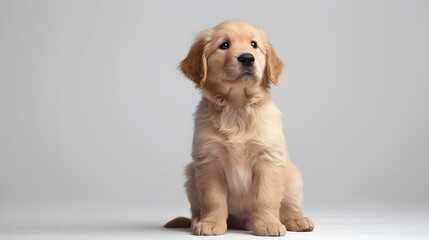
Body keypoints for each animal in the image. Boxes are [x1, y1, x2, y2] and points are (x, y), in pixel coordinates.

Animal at [163, 20, 310, 236]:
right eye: (224, 45)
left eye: (254, 44)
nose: (247, 58)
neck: (237, 107)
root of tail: (242, 222)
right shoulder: (209, 160)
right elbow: (213, 199)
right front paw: (211, 223)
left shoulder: (268, 158)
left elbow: (266, 197)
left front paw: (268, 223)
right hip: (191, 175)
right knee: (197, 209)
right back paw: (198, 220)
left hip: (292, 175)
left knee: (289, 206)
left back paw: (297, 220)